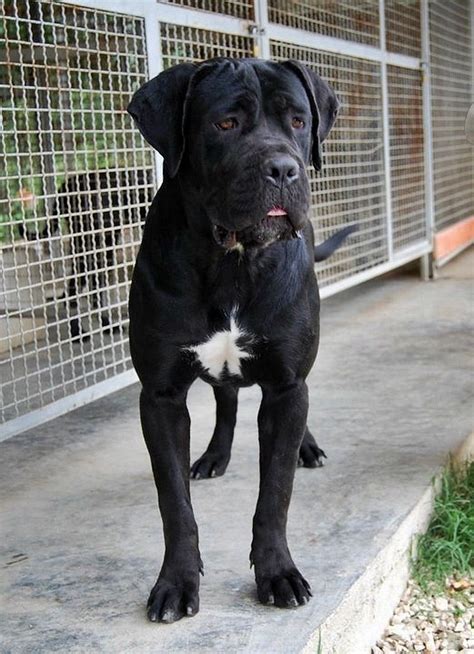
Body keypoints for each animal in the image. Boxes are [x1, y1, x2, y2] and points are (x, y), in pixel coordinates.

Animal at [128, 57, 354, 624]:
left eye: (298, 121)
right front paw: (175, 583)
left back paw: (307, 446)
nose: (283, 170)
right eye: (225, 124)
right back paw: (214, 455)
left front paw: (278, 573)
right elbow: (174, 504)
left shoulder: (287, 384)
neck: (231, 260)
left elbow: (275, 492)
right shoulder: (160, 397)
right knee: (227, 399)